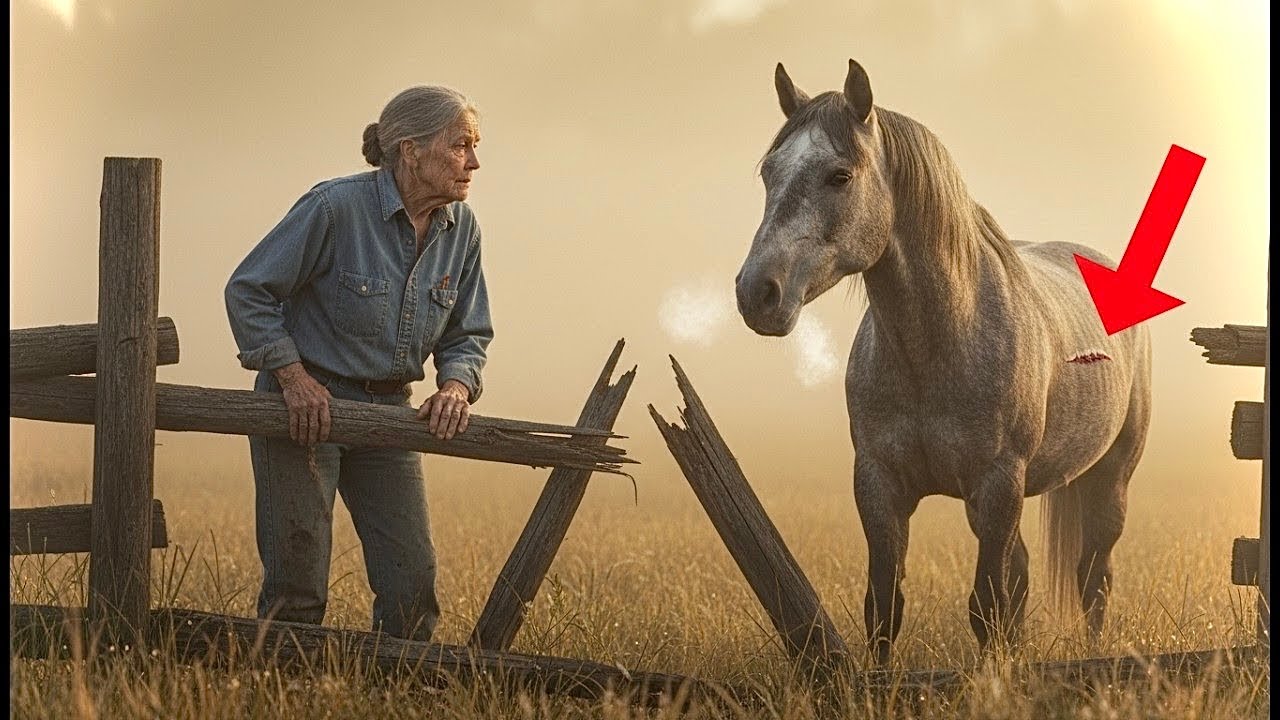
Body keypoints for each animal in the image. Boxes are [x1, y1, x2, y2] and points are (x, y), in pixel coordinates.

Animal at [734, 59, 1150, 663]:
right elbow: (885, 607)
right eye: (769, 173)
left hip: (1110, 476)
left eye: (840, 176)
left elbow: (986, 605)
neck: (936, 349)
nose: (756, 293)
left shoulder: (998, 486)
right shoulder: (880, 485)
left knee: (1094, 577)